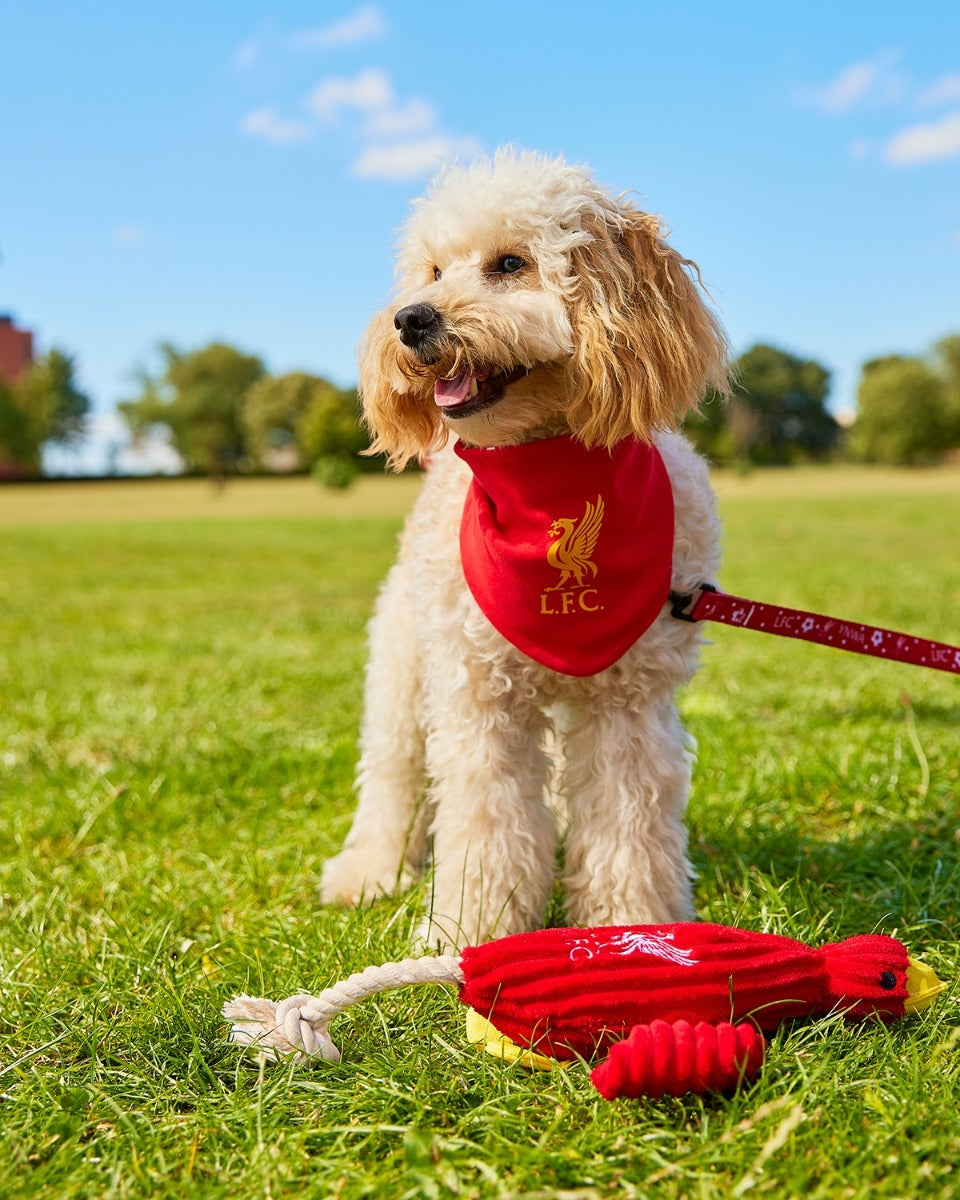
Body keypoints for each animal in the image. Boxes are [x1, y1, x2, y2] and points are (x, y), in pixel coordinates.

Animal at [321, 147, 729, 945]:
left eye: (510, 263)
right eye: (433, 270)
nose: (410, 318)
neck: (546, 478)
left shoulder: (628, 704)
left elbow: (627, 827)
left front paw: (631, 929)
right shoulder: (479, 695)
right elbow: (488, 825)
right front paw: (470, 935)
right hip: (404, 664)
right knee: (392, 772)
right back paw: (370, 872)